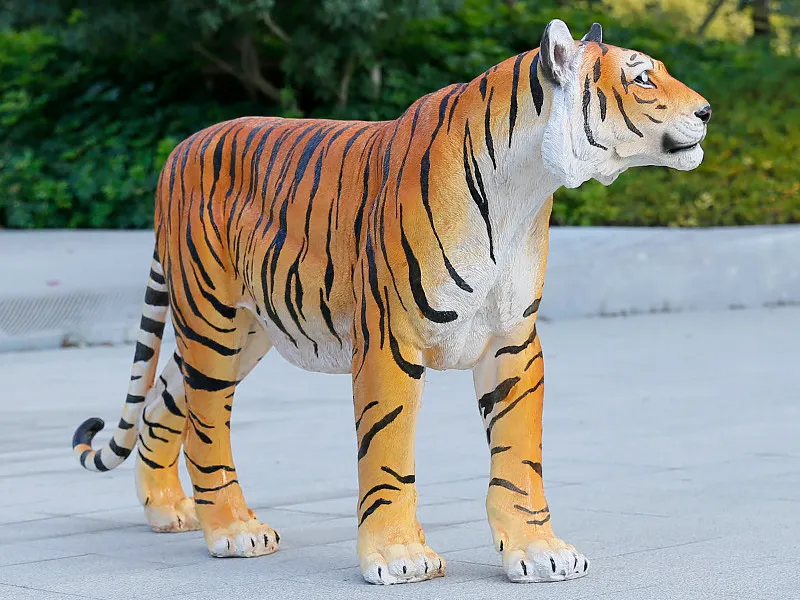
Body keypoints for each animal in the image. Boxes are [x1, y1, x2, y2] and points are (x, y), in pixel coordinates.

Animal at [72, 19, 710, 585]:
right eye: (642, 78)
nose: (707, 111)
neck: (526, 187)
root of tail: (181, 149)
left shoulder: (514, 341)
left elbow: (519, 456)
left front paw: (538, 551)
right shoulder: (390, 341)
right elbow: (387, 450)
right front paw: (400, 556)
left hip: (245, 331)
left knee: (160, 405)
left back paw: (168, 511)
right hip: (212, 320)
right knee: (205, 424)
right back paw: (233, 530)